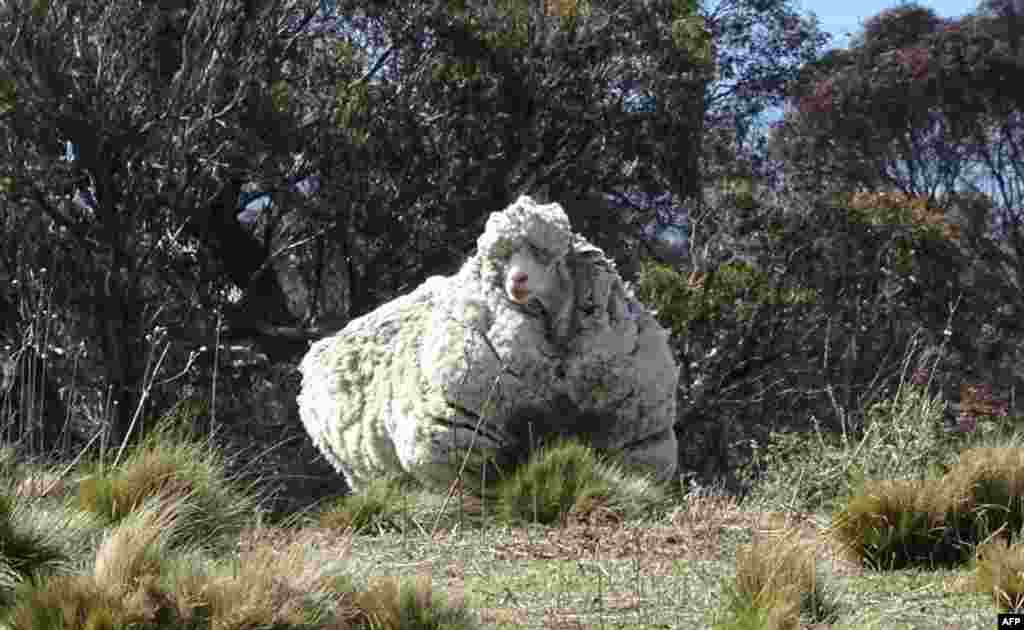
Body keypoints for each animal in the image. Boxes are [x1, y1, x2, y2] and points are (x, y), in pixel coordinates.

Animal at [296, 194, 679, 495]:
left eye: (546, 255)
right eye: (504, 257)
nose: (518, 280)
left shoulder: (629, 439)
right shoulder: (463, 440)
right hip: (363, 469)